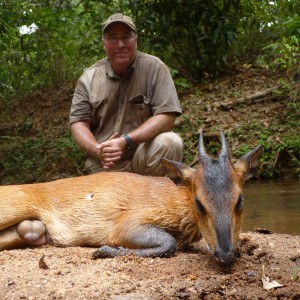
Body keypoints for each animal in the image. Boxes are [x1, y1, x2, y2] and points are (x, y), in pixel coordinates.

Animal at [0, 131, 262, 268]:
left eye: (240, 200)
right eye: (199, 203)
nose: (226, 256)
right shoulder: (126, 222)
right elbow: (168, 243)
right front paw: (105, 250)